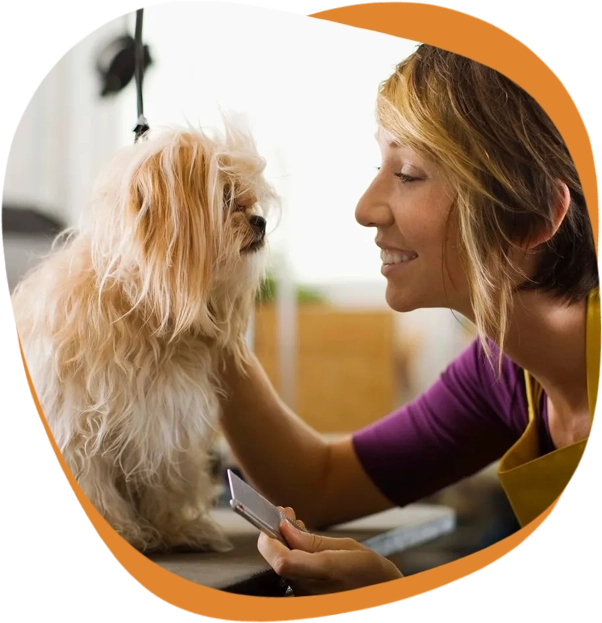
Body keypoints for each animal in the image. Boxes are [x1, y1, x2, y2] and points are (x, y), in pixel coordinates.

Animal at [9, 118, 276, 556]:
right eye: (227, 198)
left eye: (251, 200)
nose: (260, 222)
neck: (144, 313)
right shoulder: (77, 426)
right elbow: (90, 481)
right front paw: (118, 529)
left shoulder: (164, 419)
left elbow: (164, 480)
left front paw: (177, 528)